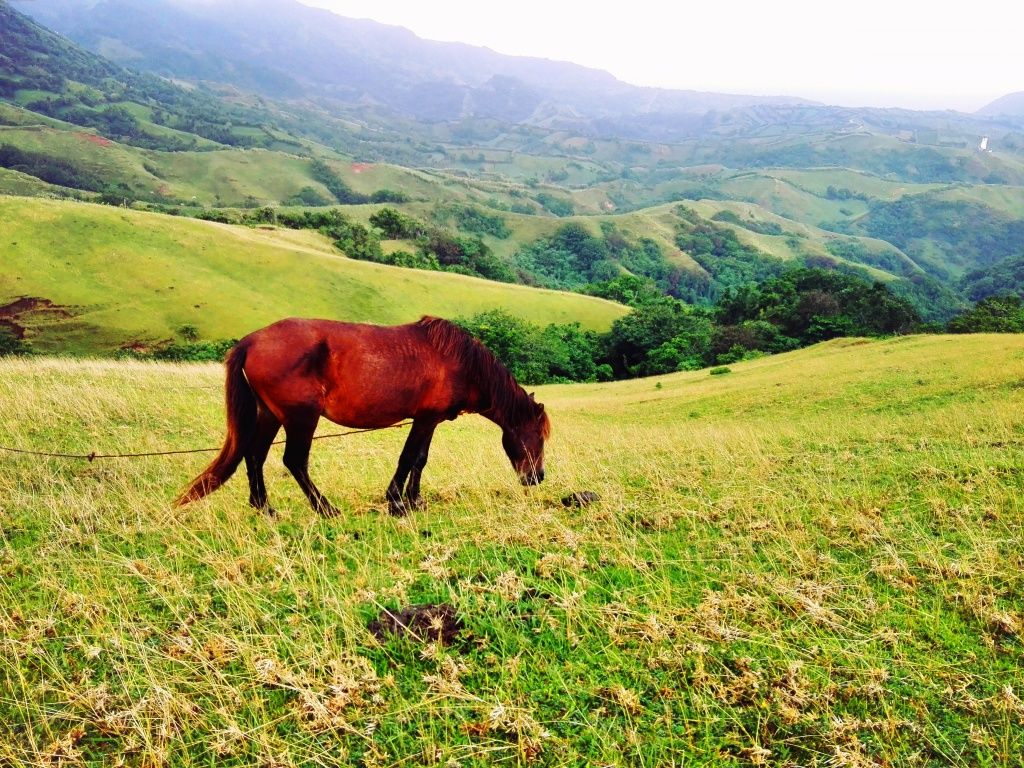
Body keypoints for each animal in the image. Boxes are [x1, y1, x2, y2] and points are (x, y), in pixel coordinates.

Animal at [174, 315, 552, 520]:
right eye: (537, 436)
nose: (537, 477)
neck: (458, 361)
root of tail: (253, 340)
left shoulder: (429, 421)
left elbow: (421, 459)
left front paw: (415, 500)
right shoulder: (424, 418)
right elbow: (408, 458)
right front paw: (397, 503)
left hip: (269, 414)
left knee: (255, 457)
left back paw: (265, 509)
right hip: (301, 417)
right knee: (294, 461)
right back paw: (326, 510)